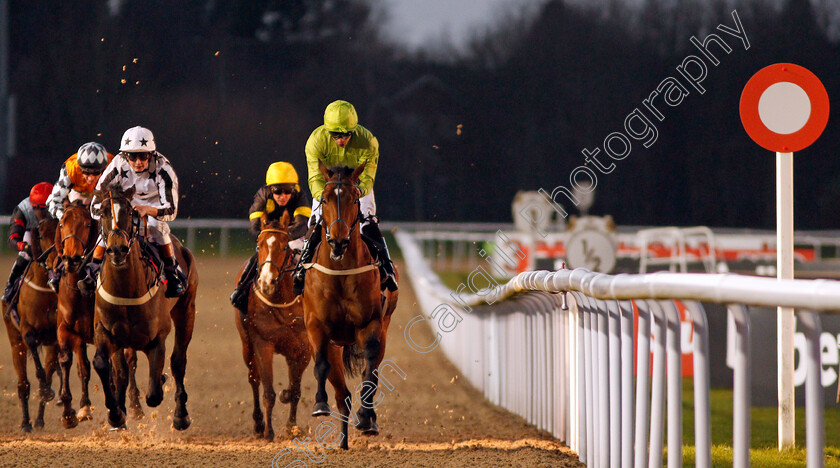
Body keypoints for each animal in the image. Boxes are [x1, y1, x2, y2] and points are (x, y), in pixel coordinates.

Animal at [2, 216, 60, 432]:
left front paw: (46, 391)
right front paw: (42, 387)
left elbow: (50, 373)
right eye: (41, 235)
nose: (55, 260)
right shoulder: (27, 330)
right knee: (23, 384)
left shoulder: (55, 337)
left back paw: (39, 419)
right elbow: (32, 342)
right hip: (14, 341)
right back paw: (26, 422)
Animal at [55, 201, 143, 428]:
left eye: (87, 224)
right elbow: (72, 362)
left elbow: (116, 369)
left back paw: (135, 406)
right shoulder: (67, 330)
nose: (71, 258)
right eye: (62, 223)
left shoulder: (106, 332)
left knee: (130, 361)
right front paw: (71, 412)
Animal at [91, 188, 198, 430]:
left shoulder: (157, 336)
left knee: (178, 361)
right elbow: (106, 366)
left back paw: (181, 415)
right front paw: (116, 413)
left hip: (186, 310)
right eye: (102, 212)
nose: (117, 249)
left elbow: (155, 393)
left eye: (131, 212)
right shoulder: (107, 329)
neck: (127, 292)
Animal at [236, 214, 312, 440]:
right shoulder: (263, 344)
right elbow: (268, 391)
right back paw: (258, 424)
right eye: (258, 244)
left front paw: (291, 426)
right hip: (247, 346)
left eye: (284, 246)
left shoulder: (303, 348)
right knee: (254, 379)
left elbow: (295, 390)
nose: (266, 282)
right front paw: (269, 431)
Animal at [304, 164, 398, 450]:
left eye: (355, 199)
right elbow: (321, 365)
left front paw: (366, 417)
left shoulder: (371, 324)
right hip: (335, 344)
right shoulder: (316, 325)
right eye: (324, 199)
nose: (338, 241)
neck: (341, 270)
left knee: (372, 370)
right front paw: (319, 404)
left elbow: (370, 368)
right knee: (341, 393)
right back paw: (343, 441)